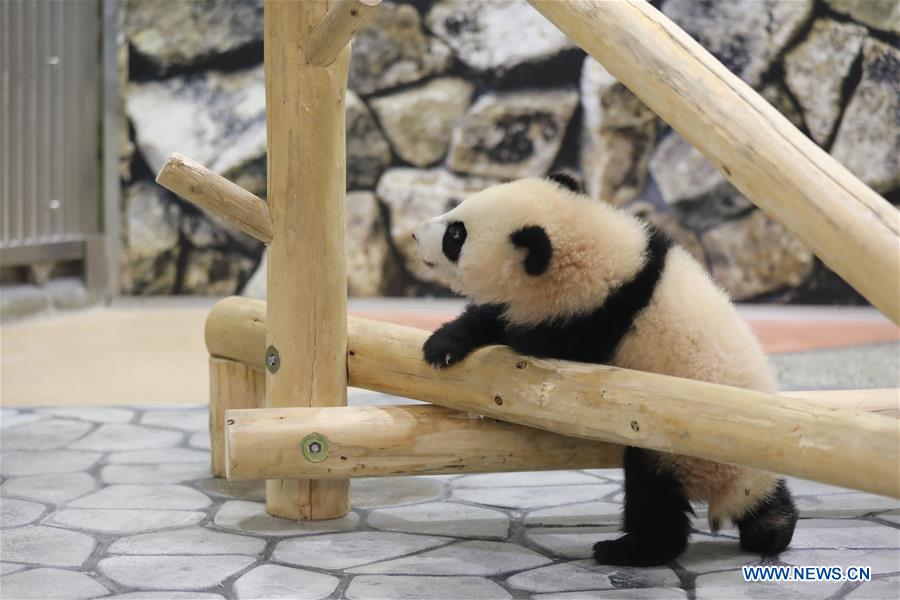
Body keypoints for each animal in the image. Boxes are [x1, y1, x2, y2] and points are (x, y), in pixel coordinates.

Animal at [412, 173, 798, 567]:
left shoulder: (595, 319)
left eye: (455, 236)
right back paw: (775, 527)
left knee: (652, 495)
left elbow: (525, 338)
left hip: (678, 451)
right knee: (766, 499)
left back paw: (628, 549)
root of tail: (731, 492)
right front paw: (445, 343)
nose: (415, 233)